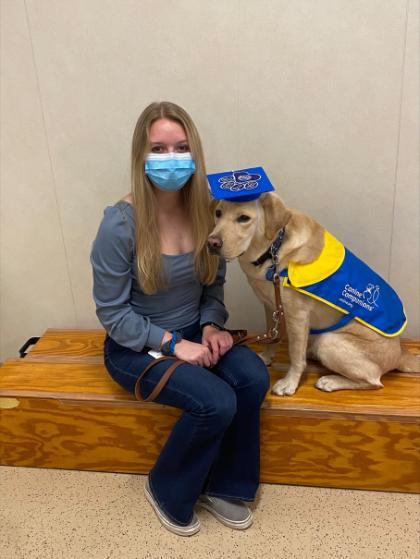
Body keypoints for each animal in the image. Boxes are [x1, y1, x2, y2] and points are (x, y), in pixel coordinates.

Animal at [208, 195, 418, 396]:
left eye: (244, 218)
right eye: (218, 213)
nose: (212, 243)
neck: (273, 249)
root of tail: (401, 354)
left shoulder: (297, 315)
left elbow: (295, 354)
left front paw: (290, 383)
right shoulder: (270, 306)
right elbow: (273, 337)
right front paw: (266, 357)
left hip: (329, 341)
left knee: (373, 381)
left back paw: (331, 381)